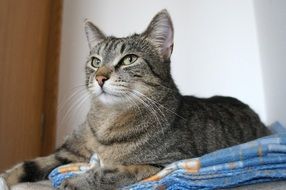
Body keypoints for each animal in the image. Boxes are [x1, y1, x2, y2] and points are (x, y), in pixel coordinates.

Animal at [0, 9, 270, 190]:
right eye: (95, 61)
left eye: (129, 59)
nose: (100, 77)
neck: (106, 123)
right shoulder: (68, 154)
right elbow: (27, 166)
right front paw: (5, 178)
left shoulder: (164, 164)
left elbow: (106, 173)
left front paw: (75, 182)